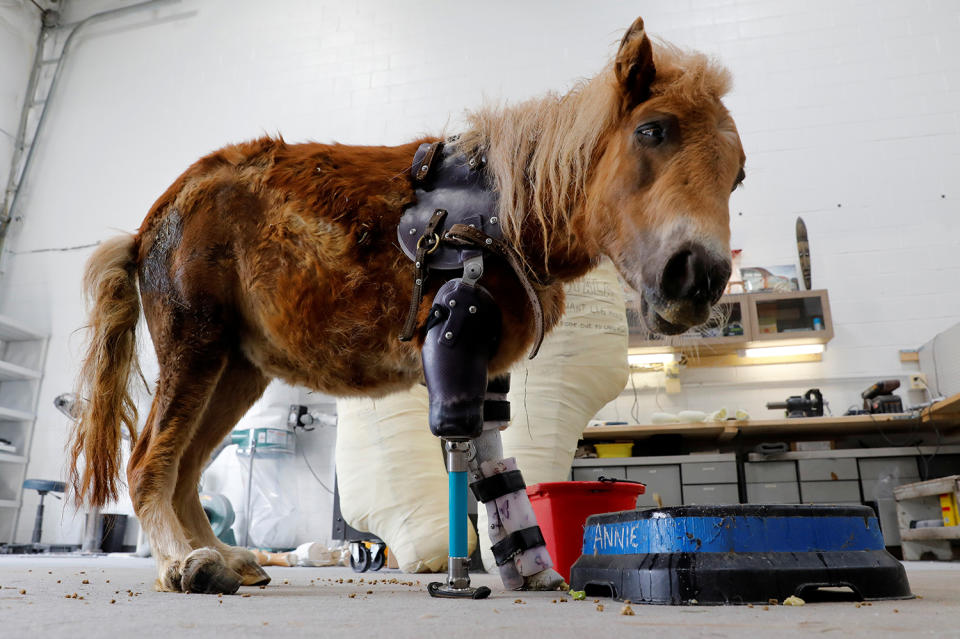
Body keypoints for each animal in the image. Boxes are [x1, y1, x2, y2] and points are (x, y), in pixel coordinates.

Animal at [67, 16, 744, 596]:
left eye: (737, 174)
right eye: (651, 130)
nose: (698, 277)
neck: (509, 210)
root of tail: (151, 224)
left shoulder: (485, 368)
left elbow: (492, 466)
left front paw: (530, 571)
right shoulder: (457, 340)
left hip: (236, 368)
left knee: (185, 468)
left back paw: (225, 558)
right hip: (195, 346)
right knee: (149, 460)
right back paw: (183, 563)